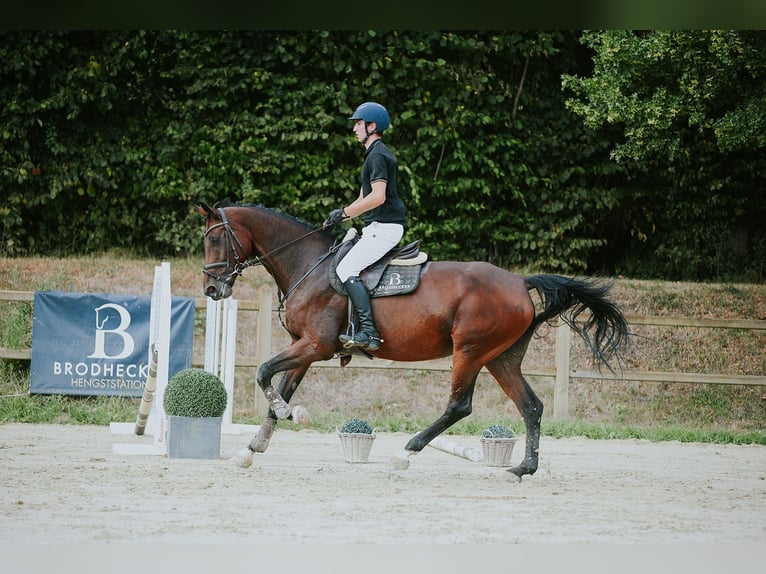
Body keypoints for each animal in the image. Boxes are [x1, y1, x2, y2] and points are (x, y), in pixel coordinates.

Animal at [198, 200, 630, 479]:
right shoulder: (305, 348)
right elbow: (277, 389)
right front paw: (250, 451)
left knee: (459, 406)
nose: (212, 289)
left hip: (470, 351)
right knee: (531, 406)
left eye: (215, 240)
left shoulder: (316, 345)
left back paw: (405, 455)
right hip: (500, 358)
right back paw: (523, 468)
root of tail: (520, 282)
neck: (309, 263)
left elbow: (263, 373)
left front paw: (293, 414)